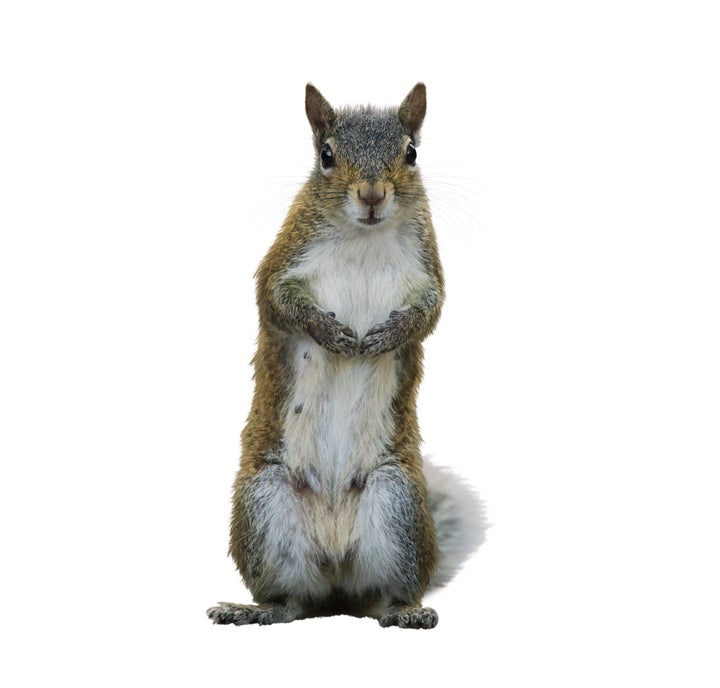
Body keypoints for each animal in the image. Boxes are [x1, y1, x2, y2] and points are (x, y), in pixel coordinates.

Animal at [207, 83, 485, 629]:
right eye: (326, 156)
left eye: (411, 153)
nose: (372, 195)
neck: (363, 235)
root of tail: (336, 583)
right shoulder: (284, 259)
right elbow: (277, 302)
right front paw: (331, 334)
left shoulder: (428, 271)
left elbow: (429, 314)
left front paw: (385, 336)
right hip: (265, 501)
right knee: (291, 602)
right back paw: (253, 610)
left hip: (397, 503)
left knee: (385, 595)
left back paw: (406, 612)